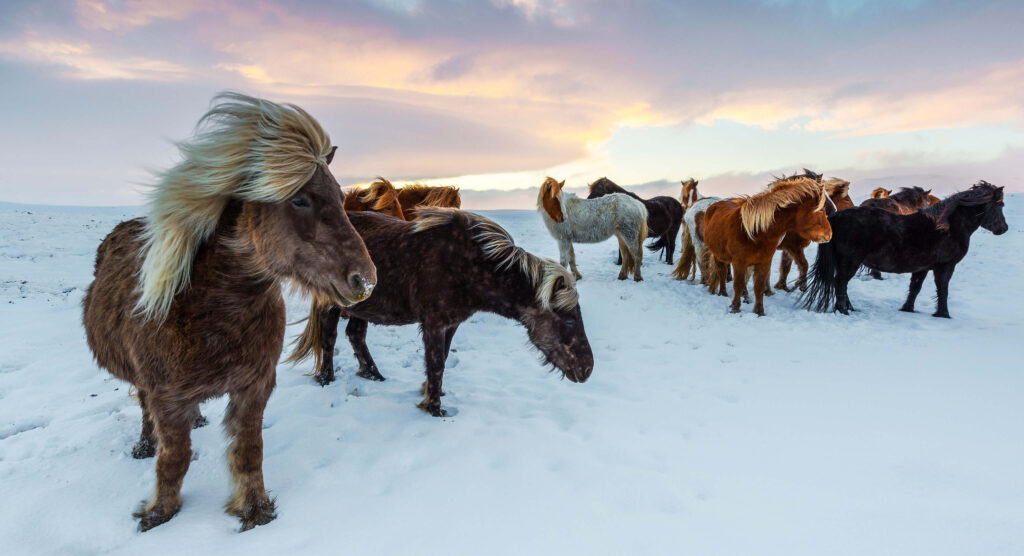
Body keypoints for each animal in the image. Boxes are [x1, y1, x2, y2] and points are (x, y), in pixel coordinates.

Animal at [708, 178, 835, 317]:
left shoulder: (765, 261)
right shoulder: (739, 262)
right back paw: (723, 293)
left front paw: (759, 312)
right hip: (719, 255)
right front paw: (735, 309)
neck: (754, 232)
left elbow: (759, 286)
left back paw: (745, 297)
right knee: (721, 272)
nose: (829, 234)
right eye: (821, 210)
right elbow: (738, 285)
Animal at [798, 184, 1007, 317]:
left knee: (841, 284)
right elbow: (943, 289)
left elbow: (915, 288)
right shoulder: (945, 267)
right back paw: (843, 310)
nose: (1003, 228)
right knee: (840, 283)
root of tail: (833, 217)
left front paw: (907, 309)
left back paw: (849, 308)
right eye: (1000, 205)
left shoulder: (923, 268)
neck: (947, 227)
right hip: (850, 263)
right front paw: (943, 314)